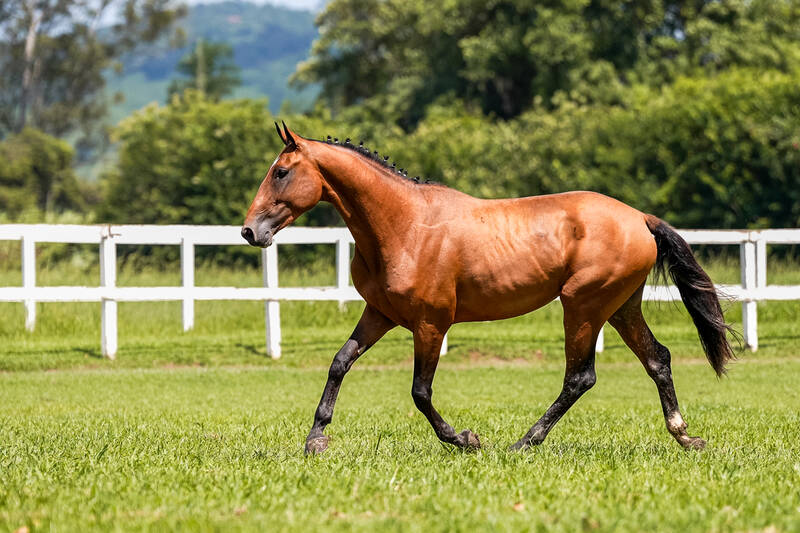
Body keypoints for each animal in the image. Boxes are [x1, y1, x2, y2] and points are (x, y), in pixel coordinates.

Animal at [241, 123, 736, 454]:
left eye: (281, 172)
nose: (250, 231)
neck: (404, 225)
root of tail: (639, 218)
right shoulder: (379, 314)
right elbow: (340, 363)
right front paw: (316, 440)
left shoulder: (431, 324)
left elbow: (420, 392)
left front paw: (465, 439)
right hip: (620, 307)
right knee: (657, 359)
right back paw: (685, 436)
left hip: (583, 307)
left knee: (580, 377)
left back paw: (524, 442)